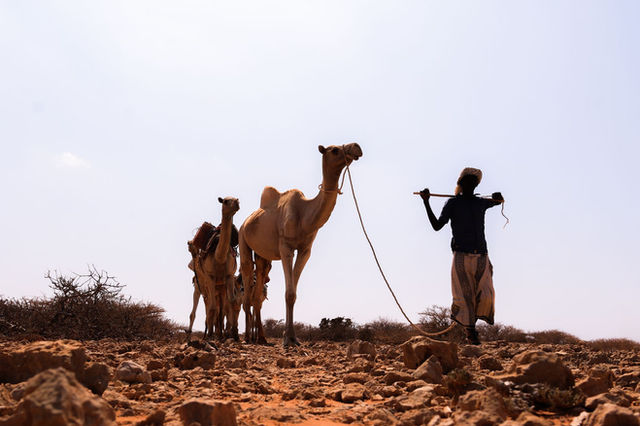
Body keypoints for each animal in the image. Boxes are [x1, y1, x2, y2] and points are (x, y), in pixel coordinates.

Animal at [189, 197, 240, 340]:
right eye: (226, 201)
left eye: (236, 199)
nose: (237, 203)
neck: (219, 257)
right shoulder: (210, 278)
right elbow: (212, 308)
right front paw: (211, 335)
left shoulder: (229, 276)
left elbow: (232, 303)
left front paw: (235, 335)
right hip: (201, 287)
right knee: (202, 311)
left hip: (219, 287)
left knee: (221, 310)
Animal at [239, 143, 363, 346]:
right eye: (335, 150)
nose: (356, 147)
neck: (305, 216)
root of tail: (247, 220)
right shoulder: (286, 248)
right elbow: (289, 293)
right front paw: (287, 339)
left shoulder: (305, 250)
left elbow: (293, 294)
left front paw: (293, 338)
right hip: (243, 239)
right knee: (247, 288)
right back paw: (248, 337)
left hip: (263, 255)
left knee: (257, 293)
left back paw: (261, 338)